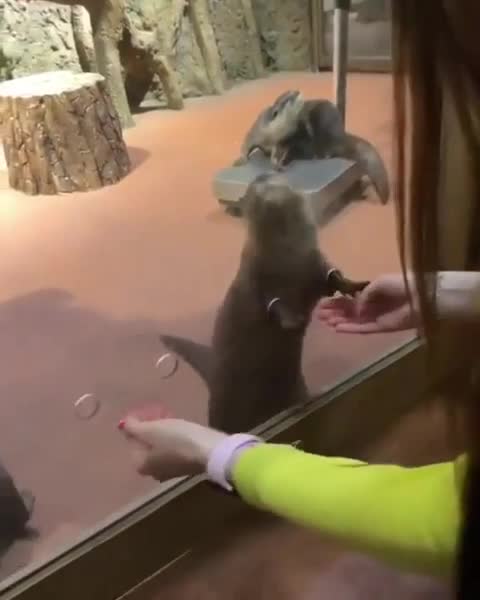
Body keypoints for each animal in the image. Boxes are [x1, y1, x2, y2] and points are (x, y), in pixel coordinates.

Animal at [159, 172, 366, 432]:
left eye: (275, 174)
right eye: (254, 185)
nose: (261, 175)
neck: (288, 258)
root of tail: (214, 372)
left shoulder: (313, 262)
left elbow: (331, 277)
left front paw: (353, 285)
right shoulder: (257, 275)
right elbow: (270, 301)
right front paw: (291, 320)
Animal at [234, 90, 388, 205]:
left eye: (292, 91)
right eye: (289, 99)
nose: (297, 91)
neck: (273, 135)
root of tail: (341, 135)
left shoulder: (285, 141)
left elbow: (281, 152)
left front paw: (279, 165)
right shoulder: (257, 131)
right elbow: (246, 144)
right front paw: (241, 160)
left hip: (323, 125)